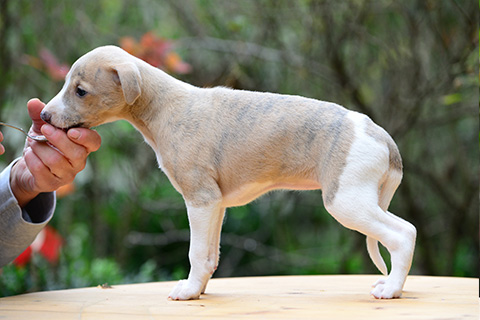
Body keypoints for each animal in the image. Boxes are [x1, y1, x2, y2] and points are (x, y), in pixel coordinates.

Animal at [40, 45, 416, 300]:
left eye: (81, 91)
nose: (43, 115)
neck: (166, 107)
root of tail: (381, 137)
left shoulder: (200, 200)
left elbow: (194, 252)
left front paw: (187, 291)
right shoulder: (216, 204)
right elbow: (209, 255)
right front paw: (198, 289)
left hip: (345, 200)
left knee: (402, 234)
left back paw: (391, 290)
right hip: (364, 198)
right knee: (404, 229)